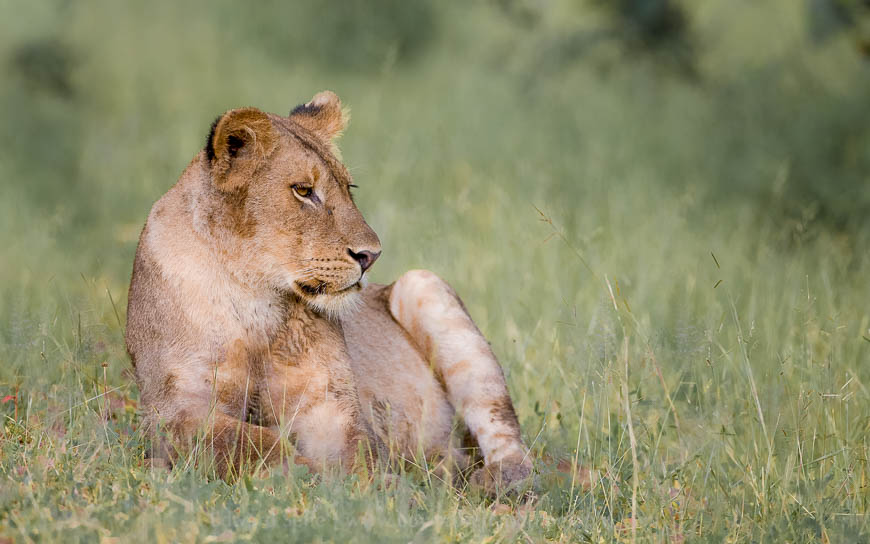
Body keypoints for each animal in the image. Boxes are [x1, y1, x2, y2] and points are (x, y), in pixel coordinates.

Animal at [125, 91, 532, 491]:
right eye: (304, 191)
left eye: (348, 188)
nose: (370, 255)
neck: (257, 301)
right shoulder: (175, 411)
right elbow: (256, 446)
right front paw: (320, 479)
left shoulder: (328, 403)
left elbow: (358, 450)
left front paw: (376, 487)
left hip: (423, 284)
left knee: (504, 431)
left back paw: (495, 480)